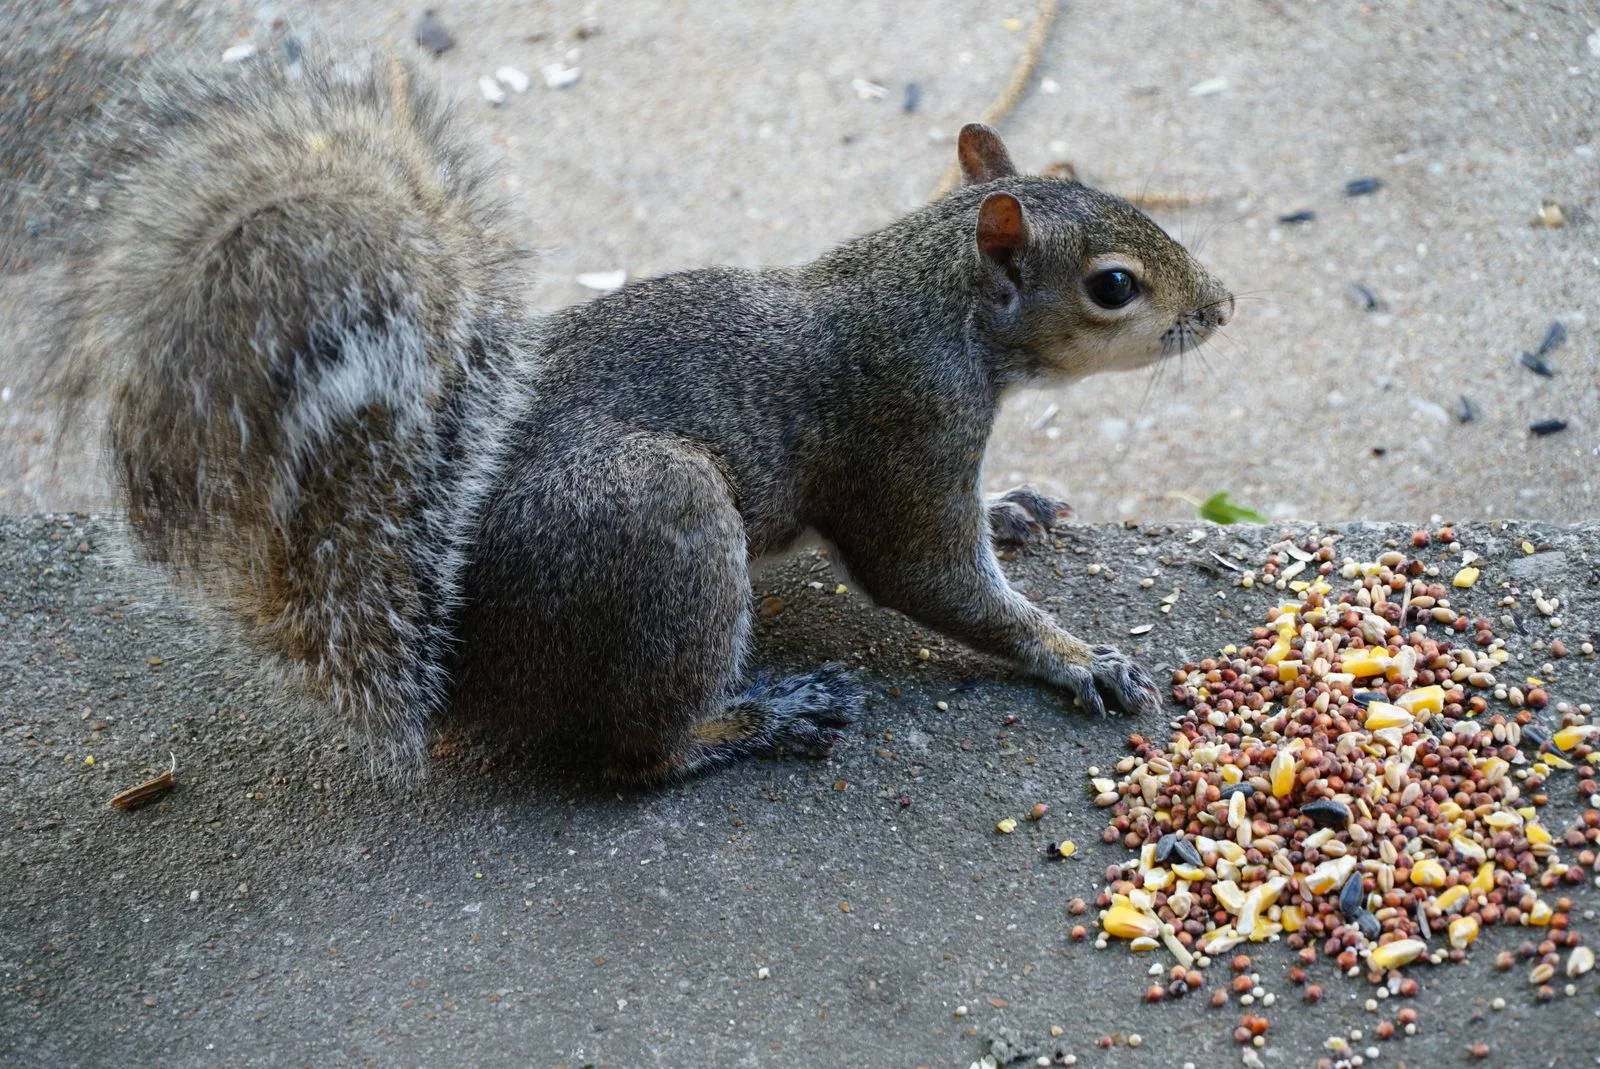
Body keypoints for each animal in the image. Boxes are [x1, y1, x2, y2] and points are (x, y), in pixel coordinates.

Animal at [40, 51, 1234, 783]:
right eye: (1113, 286)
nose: (1223, 307)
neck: (931, 295)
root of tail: (455, 667)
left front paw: (1015, 509)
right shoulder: (905, 430)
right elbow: (928, 577)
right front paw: (1073, 657)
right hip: (660, 526)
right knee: (637, 756)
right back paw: (759, 720)